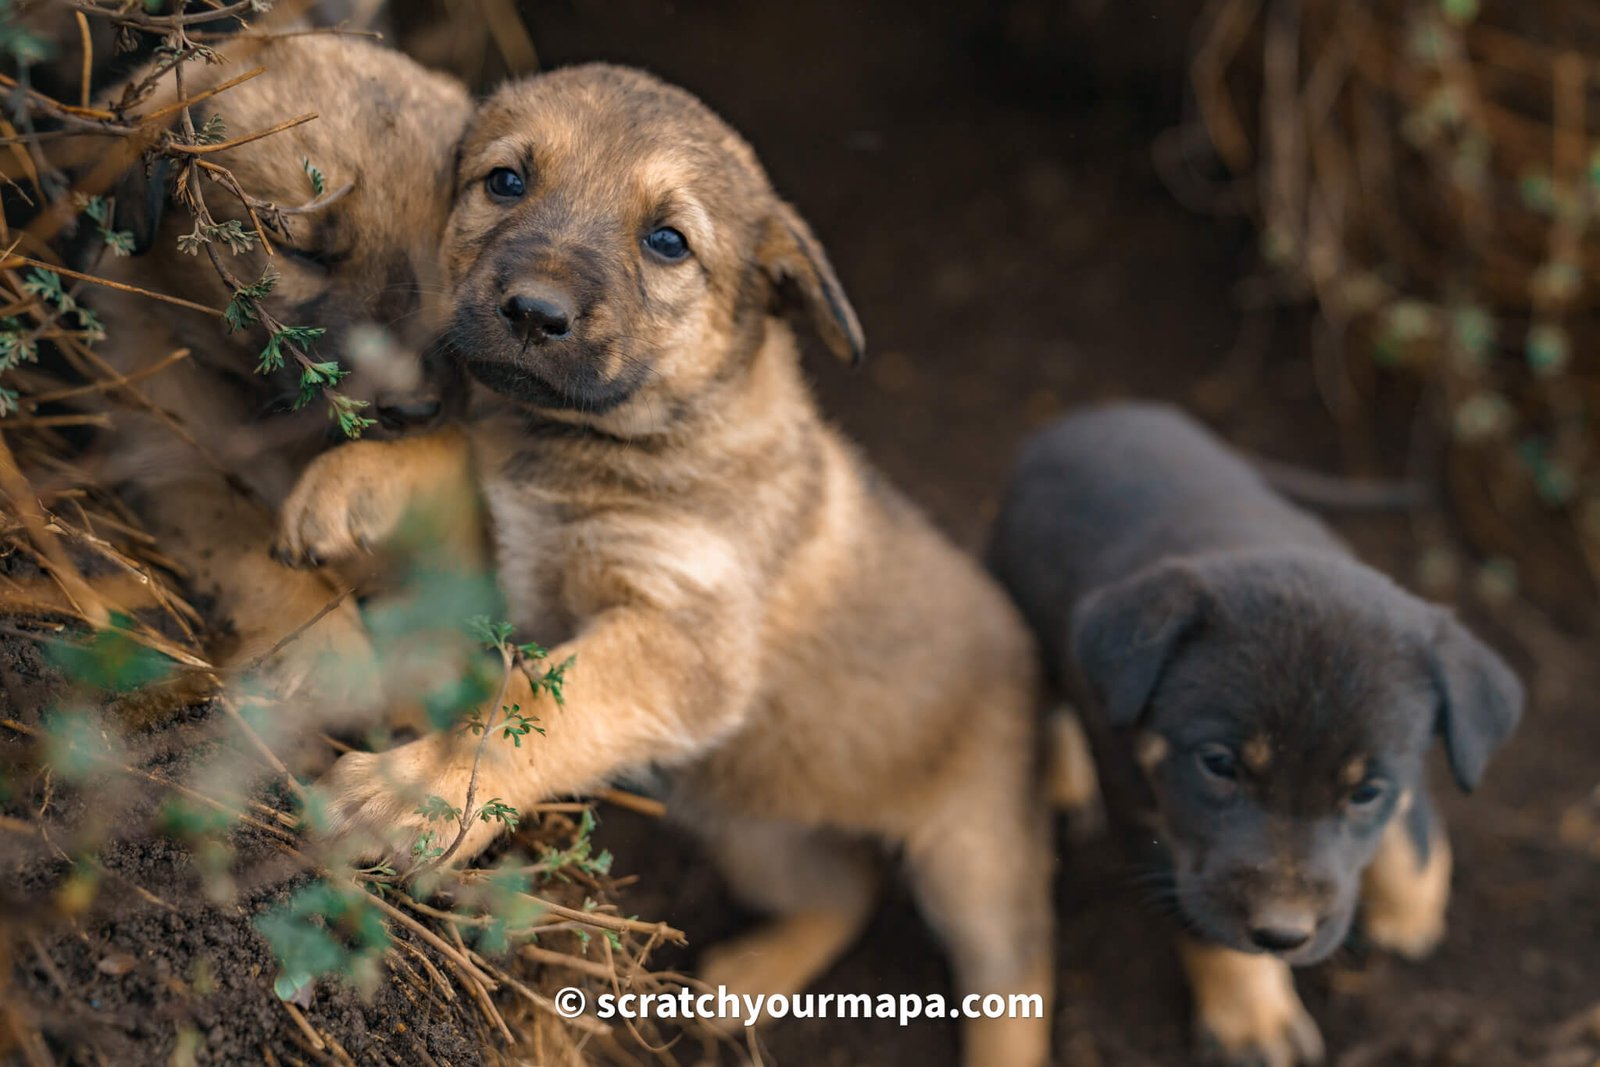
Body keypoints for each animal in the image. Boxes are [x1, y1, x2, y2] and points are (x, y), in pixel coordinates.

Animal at [92, 35, 467, 700]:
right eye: (299, 250)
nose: (414, 407)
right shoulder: (169, 461)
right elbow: (241, 544)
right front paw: (325, 649)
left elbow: (453, 449)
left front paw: (354, 483)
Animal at [281, 66, 1056, 1067]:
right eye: (504, 182)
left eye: (667, 241)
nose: (533, 312)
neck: (595, 447)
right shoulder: (517, 543)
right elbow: (456, 453)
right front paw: (353, 480)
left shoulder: (678, 635)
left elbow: (531, 705)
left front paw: (413, 795)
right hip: (759, 831)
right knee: (844, 892)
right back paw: (742, 981)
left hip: (971, 855)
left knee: (1017, 978)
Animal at [985, 403, 1523, 1067]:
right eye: (1218, 765)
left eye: (1365, 792)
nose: (1283, 933)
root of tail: (1092, 413)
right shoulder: (1150, 815)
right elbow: (1209, 930)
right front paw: (1255, 1020)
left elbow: (1410, 817)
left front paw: (1412, 901)